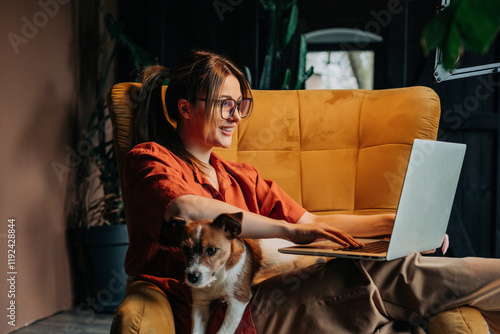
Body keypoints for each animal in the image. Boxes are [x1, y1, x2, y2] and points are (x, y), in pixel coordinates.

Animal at [168, 213, 324, 332]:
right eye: (185, 249)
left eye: (211, 250)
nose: (192, 277)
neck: (218, 277)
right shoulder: (200, 303)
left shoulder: (238, 301)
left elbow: (223, 331)